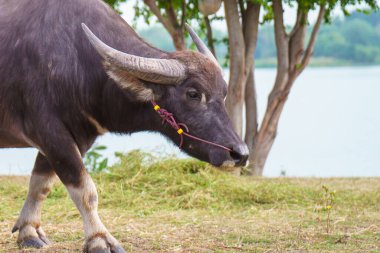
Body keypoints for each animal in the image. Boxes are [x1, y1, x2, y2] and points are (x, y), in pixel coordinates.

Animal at [0, 0, 249, 252]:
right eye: (193, 93)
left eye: (224, 93)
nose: (240, 154)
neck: (77, 62)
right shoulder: (51, 133)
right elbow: (85, 190)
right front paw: (99, 239)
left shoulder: (75, 137)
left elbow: (40, 185)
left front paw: (29, 232)